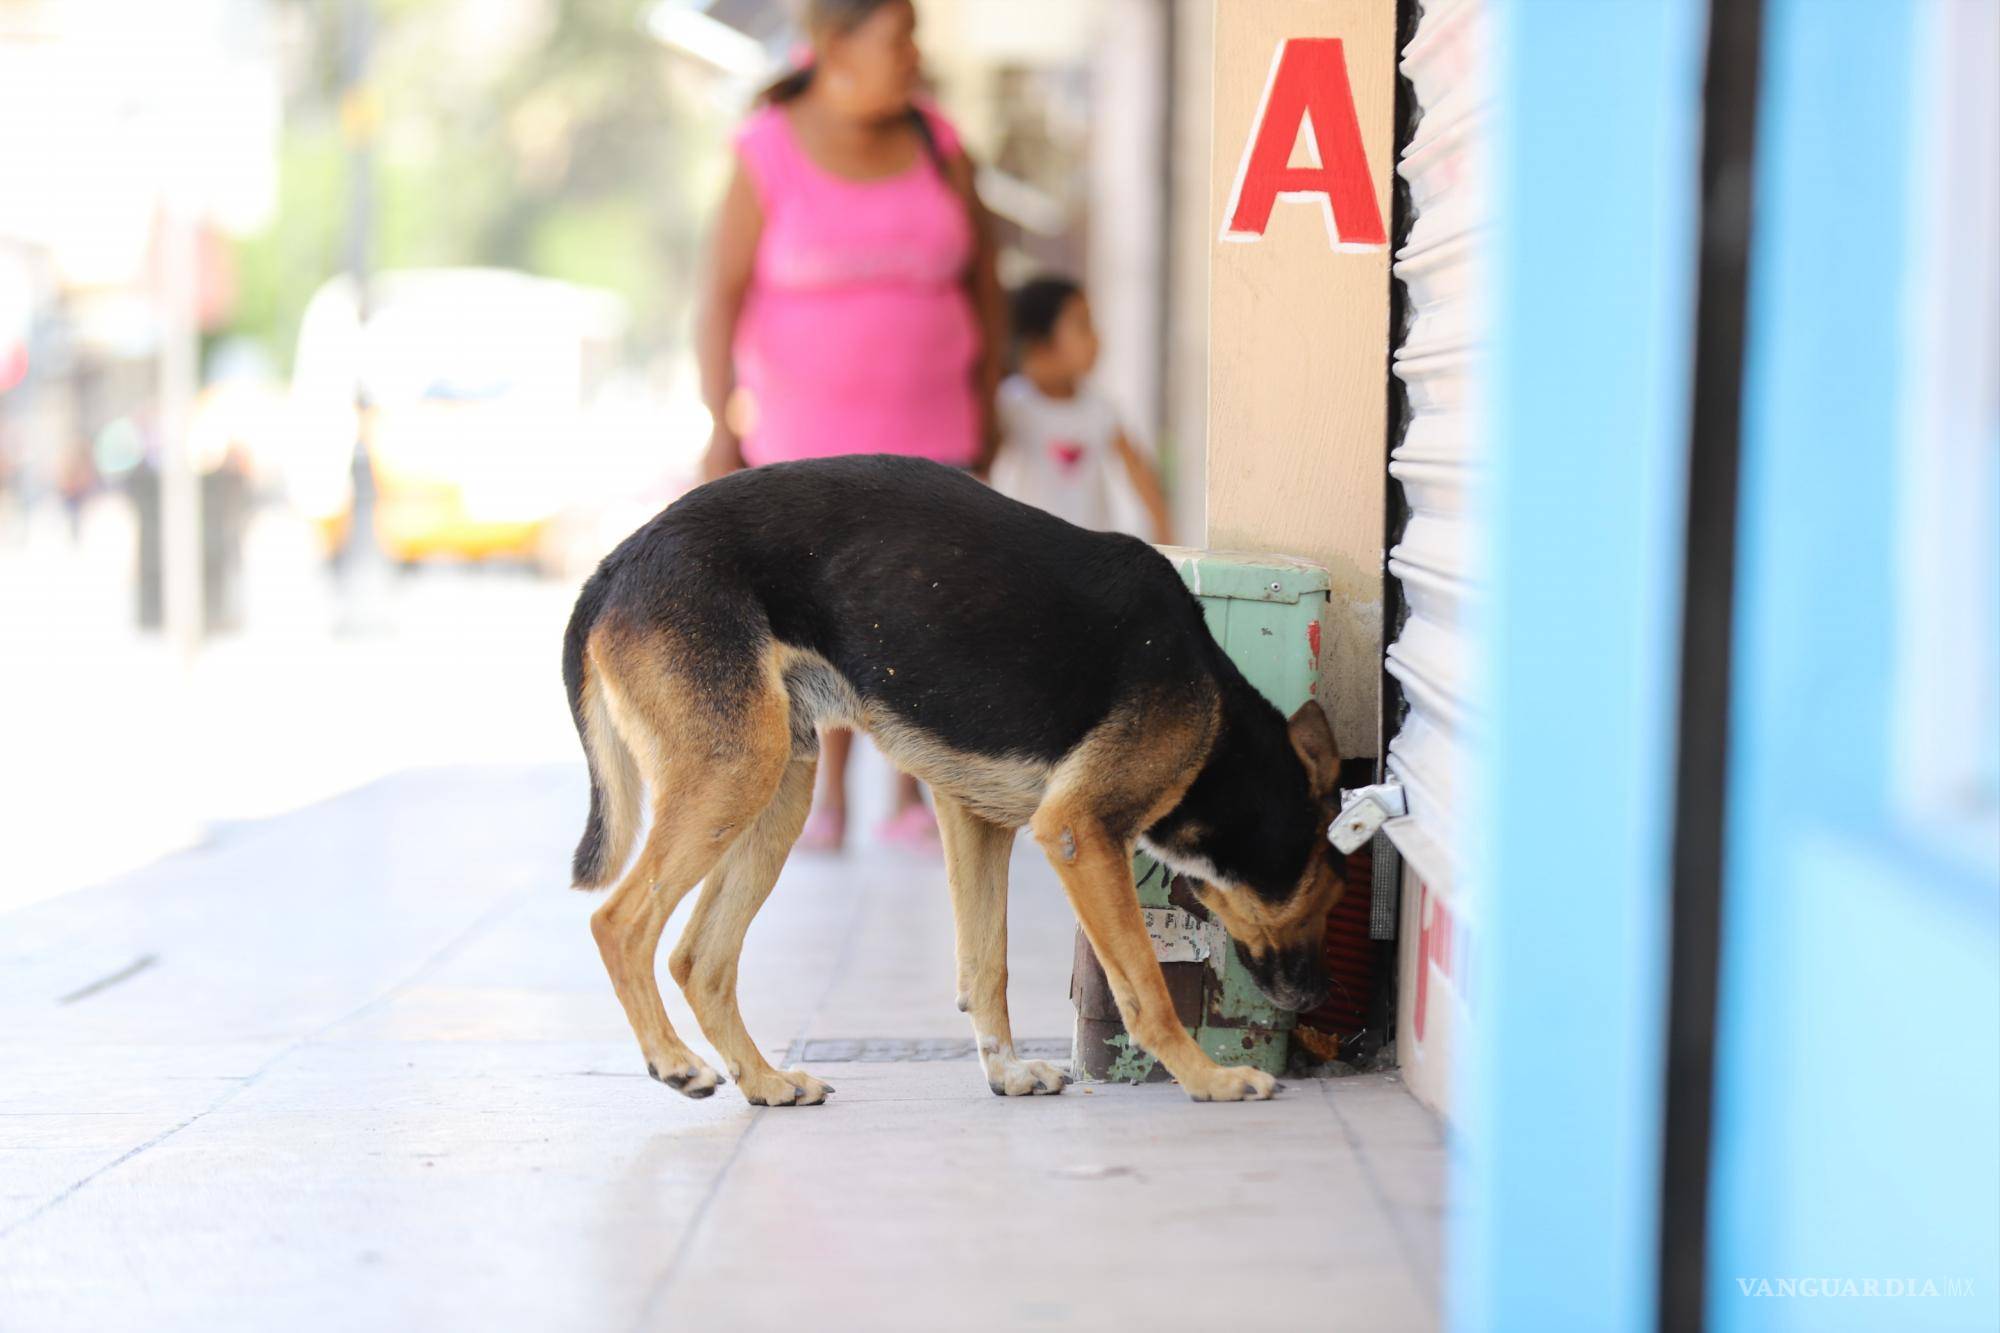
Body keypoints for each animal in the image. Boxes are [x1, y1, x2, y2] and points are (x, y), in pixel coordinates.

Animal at [564, 454, 1344, 1096]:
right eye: (1331, 894)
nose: (1315, 1001)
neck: (1221, 735)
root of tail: (616, 562)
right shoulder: (1079, 833)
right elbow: (1144, 986)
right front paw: (1209, 1079)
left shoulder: (977, 817)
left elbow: (986, 963)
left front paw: (1006, 1070)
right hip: (735, 773)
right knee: (618, 923)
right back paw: (673, 1060)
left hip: (778, 786)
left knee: (699, 957)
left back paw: (763, 1080)